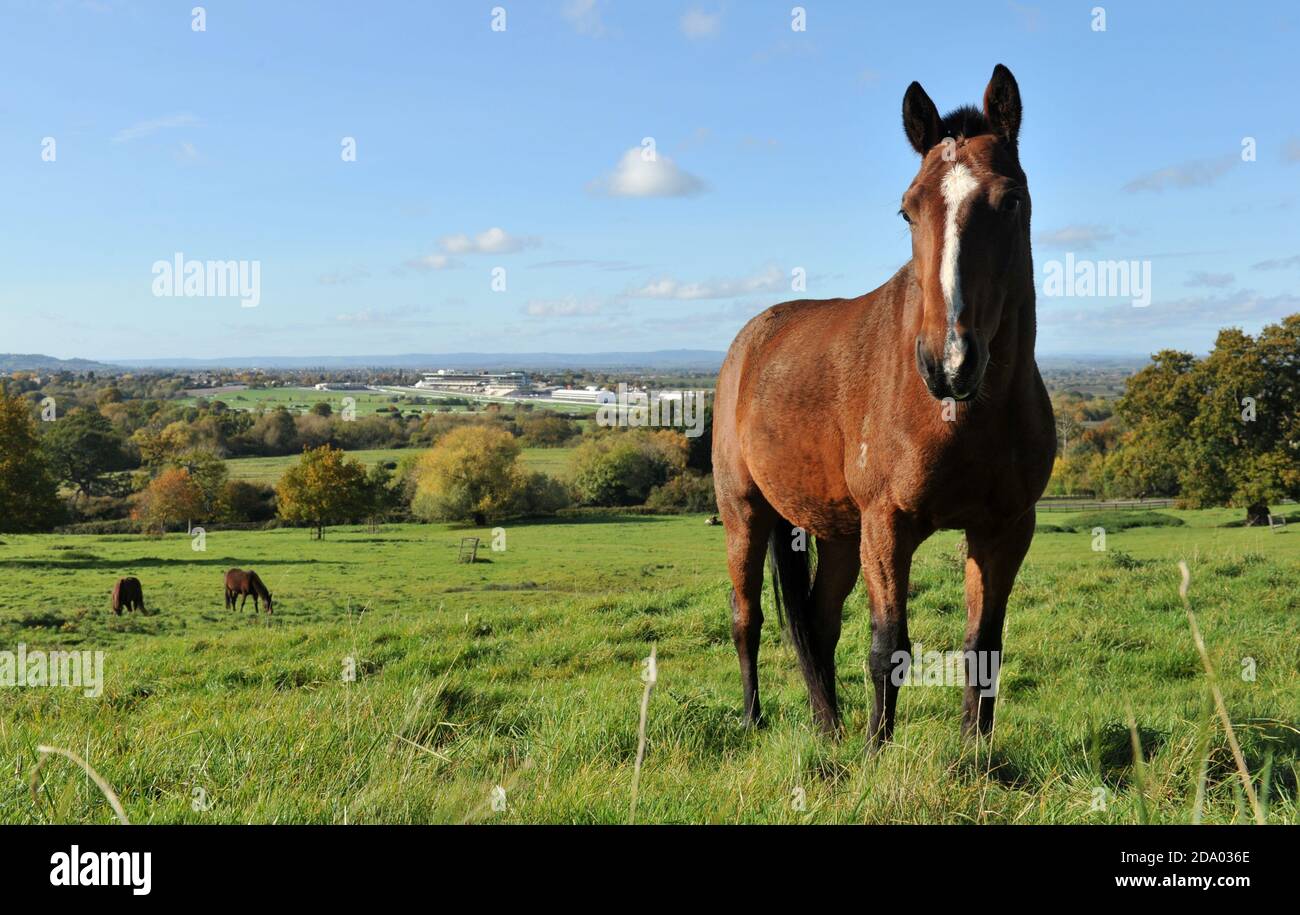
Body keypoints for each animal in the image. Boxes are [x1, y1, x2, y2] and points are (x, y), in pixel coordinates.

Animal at [712, 66, 1055, 748]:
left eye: (1011, 202)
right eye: (908, 208)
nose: (948, 362)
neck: (964, 418)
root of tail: (751, 339)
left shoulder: (1005, 528)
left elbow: (984, 647)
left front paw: (972, 758)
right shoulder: (888, 525)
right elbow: (886, 647)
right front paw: (876, 751)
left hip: (838, 533)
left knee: (817, 627)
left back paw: (829, 729)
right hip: (746, 513)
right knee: (748, 619)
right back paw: (755, 718)